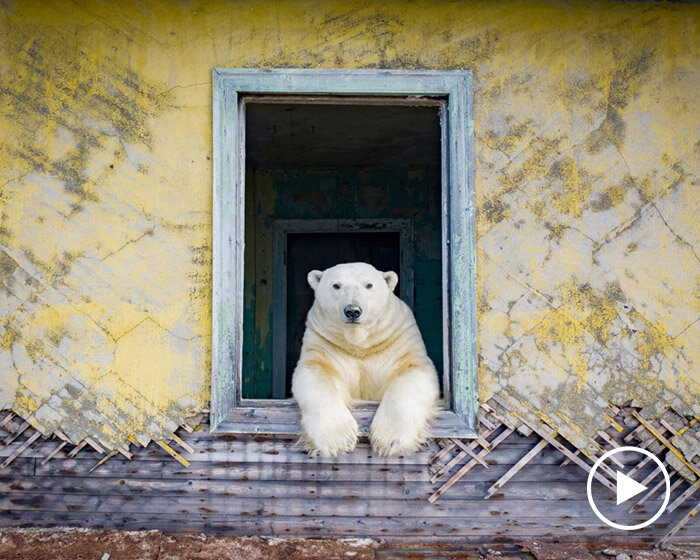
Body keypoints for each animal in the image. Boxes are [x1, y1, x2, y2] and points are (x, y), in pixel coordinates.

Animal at [292, 262, 440, 456]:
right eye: (336, 285)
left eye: (369, 285)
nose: (352, 311)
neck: (360, 344)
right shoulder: (324, 342)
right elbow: (316, 373)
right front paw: (338, 440)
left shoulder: (398, 339)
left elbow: (411, 372)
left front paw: (389, 440)